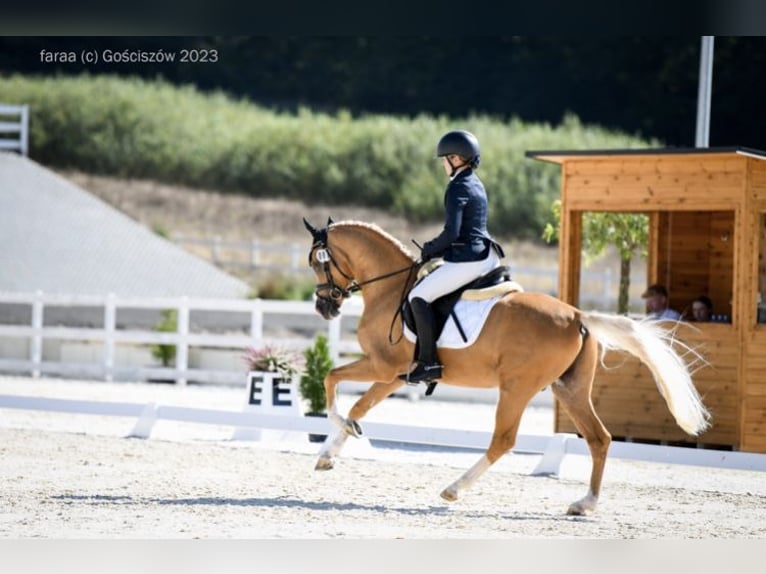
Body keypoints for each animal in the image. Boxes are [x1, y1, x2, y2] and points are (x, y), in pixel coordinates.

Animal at [304, 219, 712, 516]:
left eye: (317, 263)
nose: (325, 307)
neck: (390, 291)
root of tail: (577, 315)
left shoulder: (382, 367)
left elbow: (330, 378)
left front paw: (339, 431)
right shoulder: (393, 376)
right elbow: (360, 404)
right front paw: (330, 453)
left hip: (516, 388)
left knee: (504, 440)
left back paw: (454, 489)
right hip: (569, 389)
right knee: (599, 438)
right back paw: (585, 504)